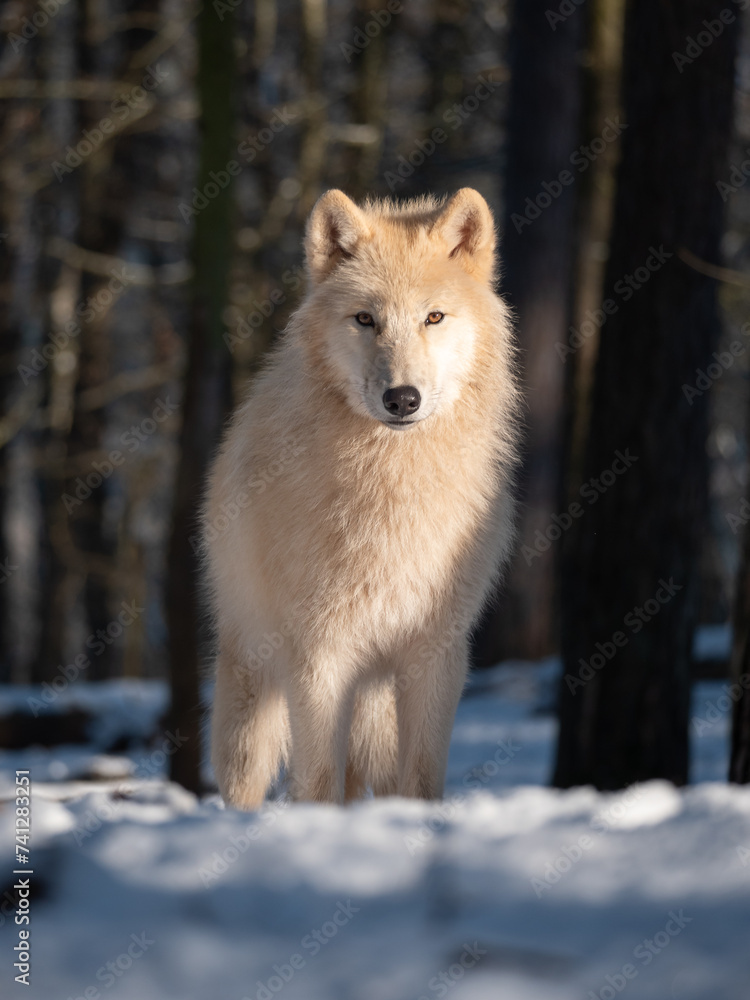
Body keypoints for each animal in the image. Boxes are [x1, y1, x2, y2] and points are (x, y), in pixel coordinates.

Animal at [204, 187, 520, 807]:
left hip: (375, 699)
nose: (402, 398)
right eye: (365, 319)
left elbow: (421, 779)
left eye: (433, 317)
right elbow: (318, 780)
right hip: (254, 689)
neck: (390, 487)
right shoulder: (320, 654)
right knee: (247, 780)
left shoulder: (436, 654)